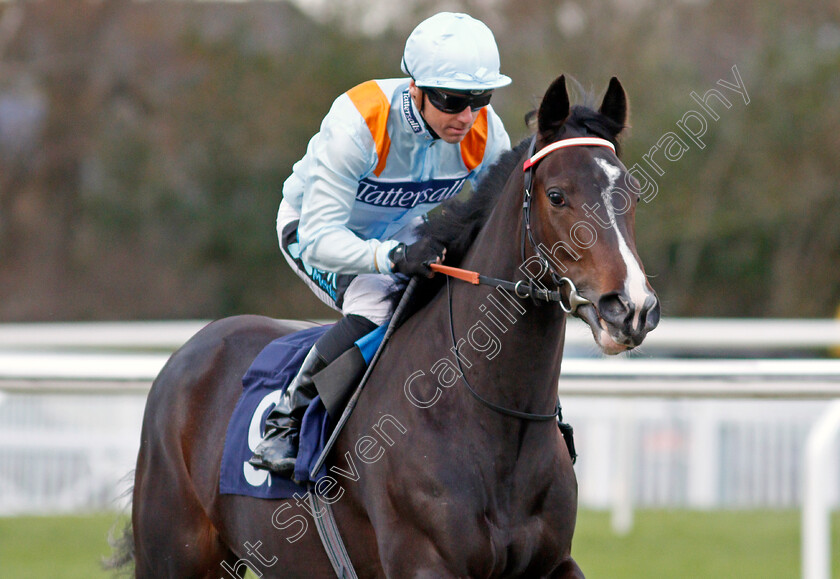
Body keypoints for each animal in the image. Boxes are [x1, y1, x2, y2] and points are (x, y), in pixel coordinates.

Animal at [111, 75, 660, 576]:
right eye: (558, 195)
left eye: (632, 193)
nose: (629, 308)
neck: (494, 419)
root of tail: (191, 351)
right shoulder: (425, 562)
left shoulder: (553, 564)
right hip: (174, 555)